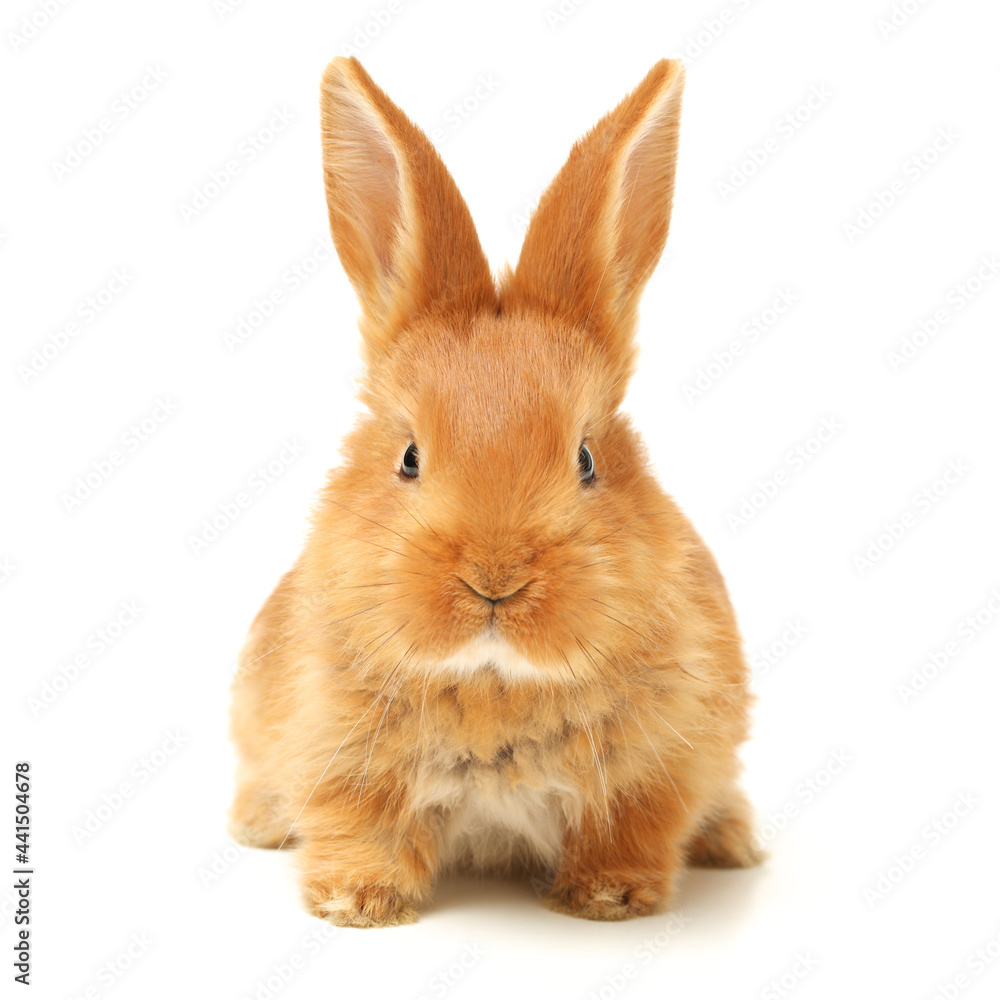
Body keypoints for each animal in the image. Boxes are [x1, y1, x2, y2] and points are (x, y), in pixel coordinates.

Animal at [228, 55, 761, 928]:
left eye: (586, 459)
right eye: (409, 457)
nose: (495, 579)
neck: (494, 679)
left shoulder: (658, 773)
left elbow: (632, 829)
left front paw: (610, 898)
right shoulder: (338, 758)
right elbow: (357, 826)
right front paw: (357, 903)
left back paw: (736, 843)